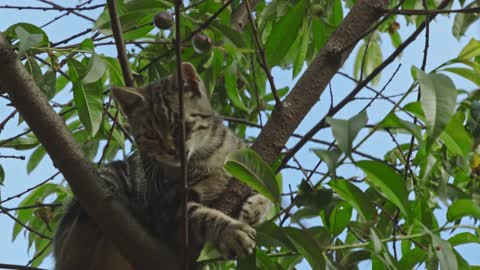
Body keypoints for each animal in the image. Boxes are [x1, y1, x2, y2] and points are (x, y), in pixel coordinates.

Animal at [54, 62, 272, 268]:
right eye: (151, 135)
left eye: (179, 126)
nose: (170, 150)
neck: (206, 154)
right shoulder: (167, 206)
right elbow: (202, 216)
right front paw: (231, 231)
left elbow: (266, 193)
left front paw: (255, 207)